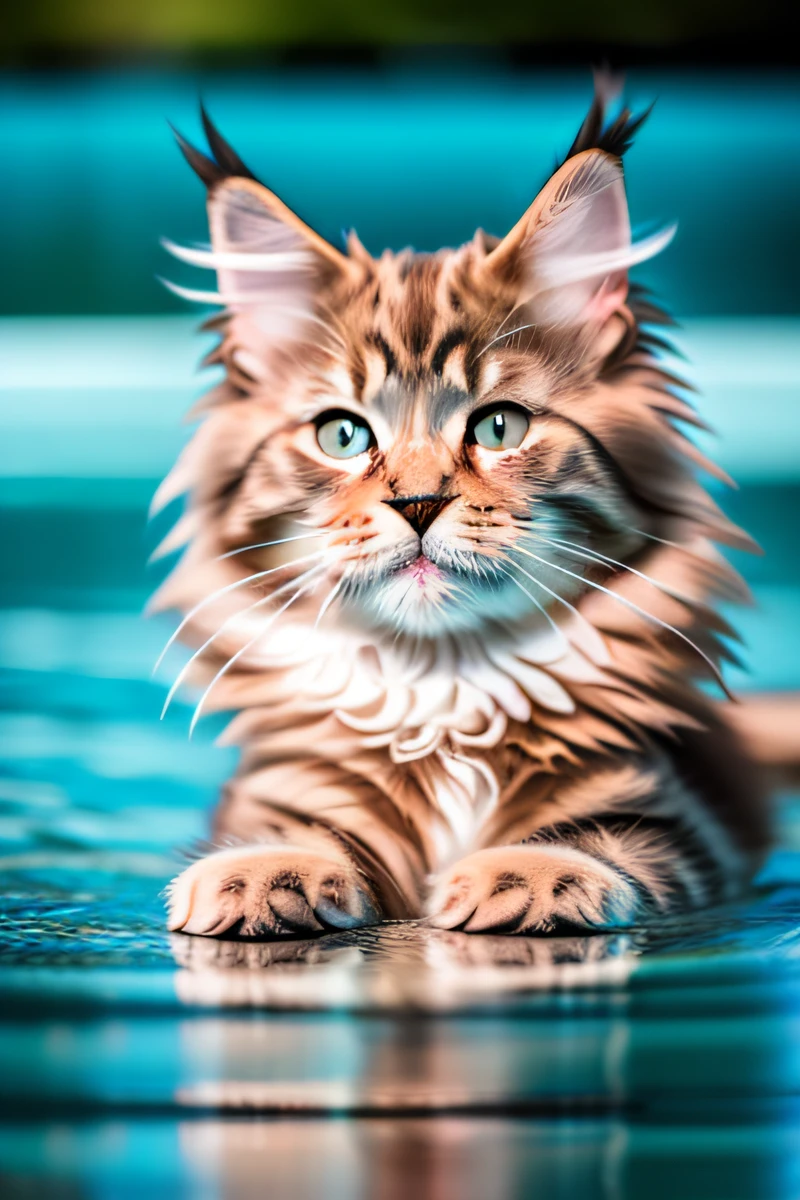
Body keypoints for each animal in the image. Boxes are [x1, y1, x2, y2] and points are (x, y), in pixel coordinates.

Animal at [153, 75, 772, 940]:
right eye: (343, 435)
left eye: (498, 426)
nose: (417, 503)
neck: (443, 691)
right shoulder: (285, 789)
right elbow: (302, 828)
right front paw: (259, 873)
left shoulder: (668, 811)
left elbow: (600, 834)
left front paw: (529, 875)